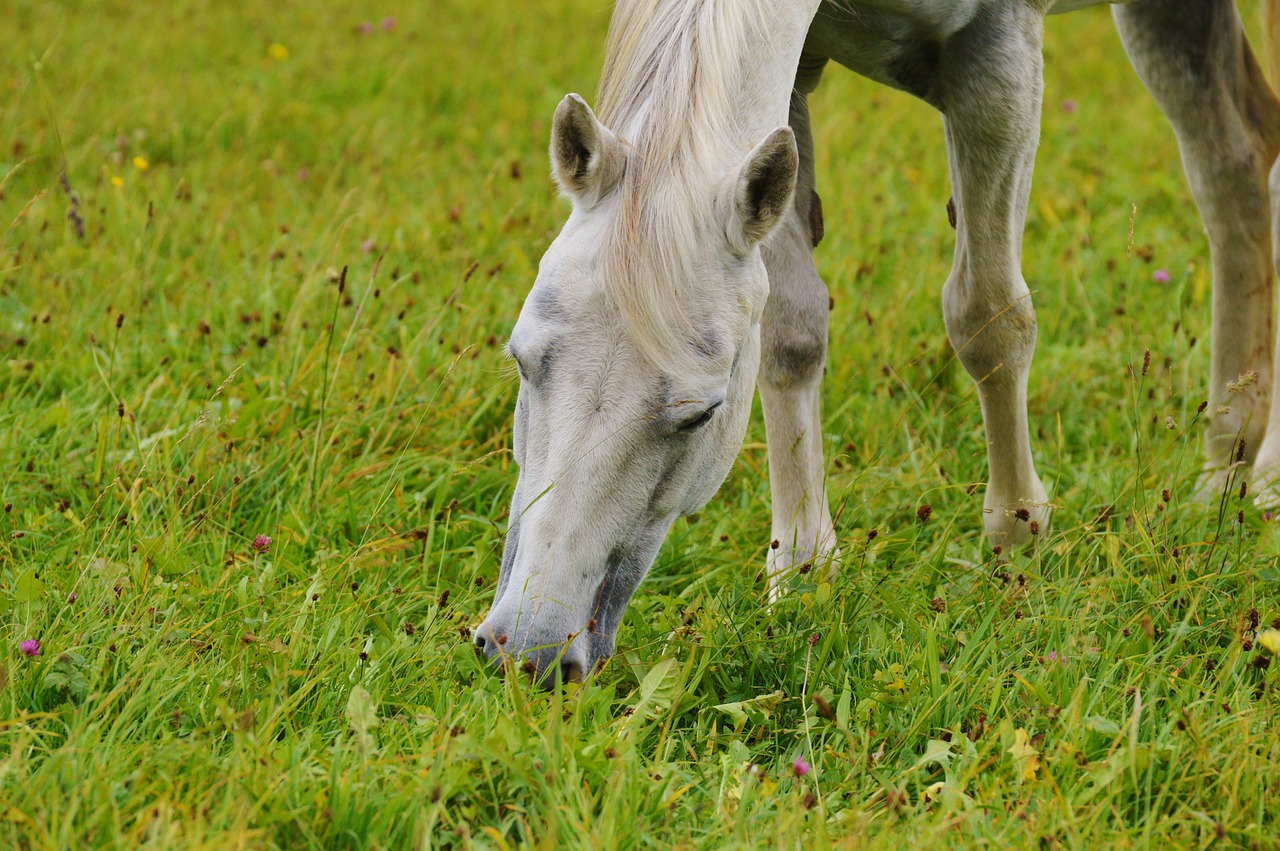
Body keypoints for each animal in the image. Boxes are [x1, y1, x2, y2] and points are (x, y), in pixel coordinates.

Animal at [476, 0, 1280, 685]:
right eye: (522, 362)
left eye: (700, 415)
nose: (527, 649)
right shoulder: (793, 81)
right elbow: (792, 329)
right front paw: (802, 578)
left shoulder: (997, 54)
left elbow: (988, 316)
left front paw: (1017, 549)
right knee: (1235, 171)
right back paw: (1224, 471)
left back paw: (1265, 480)